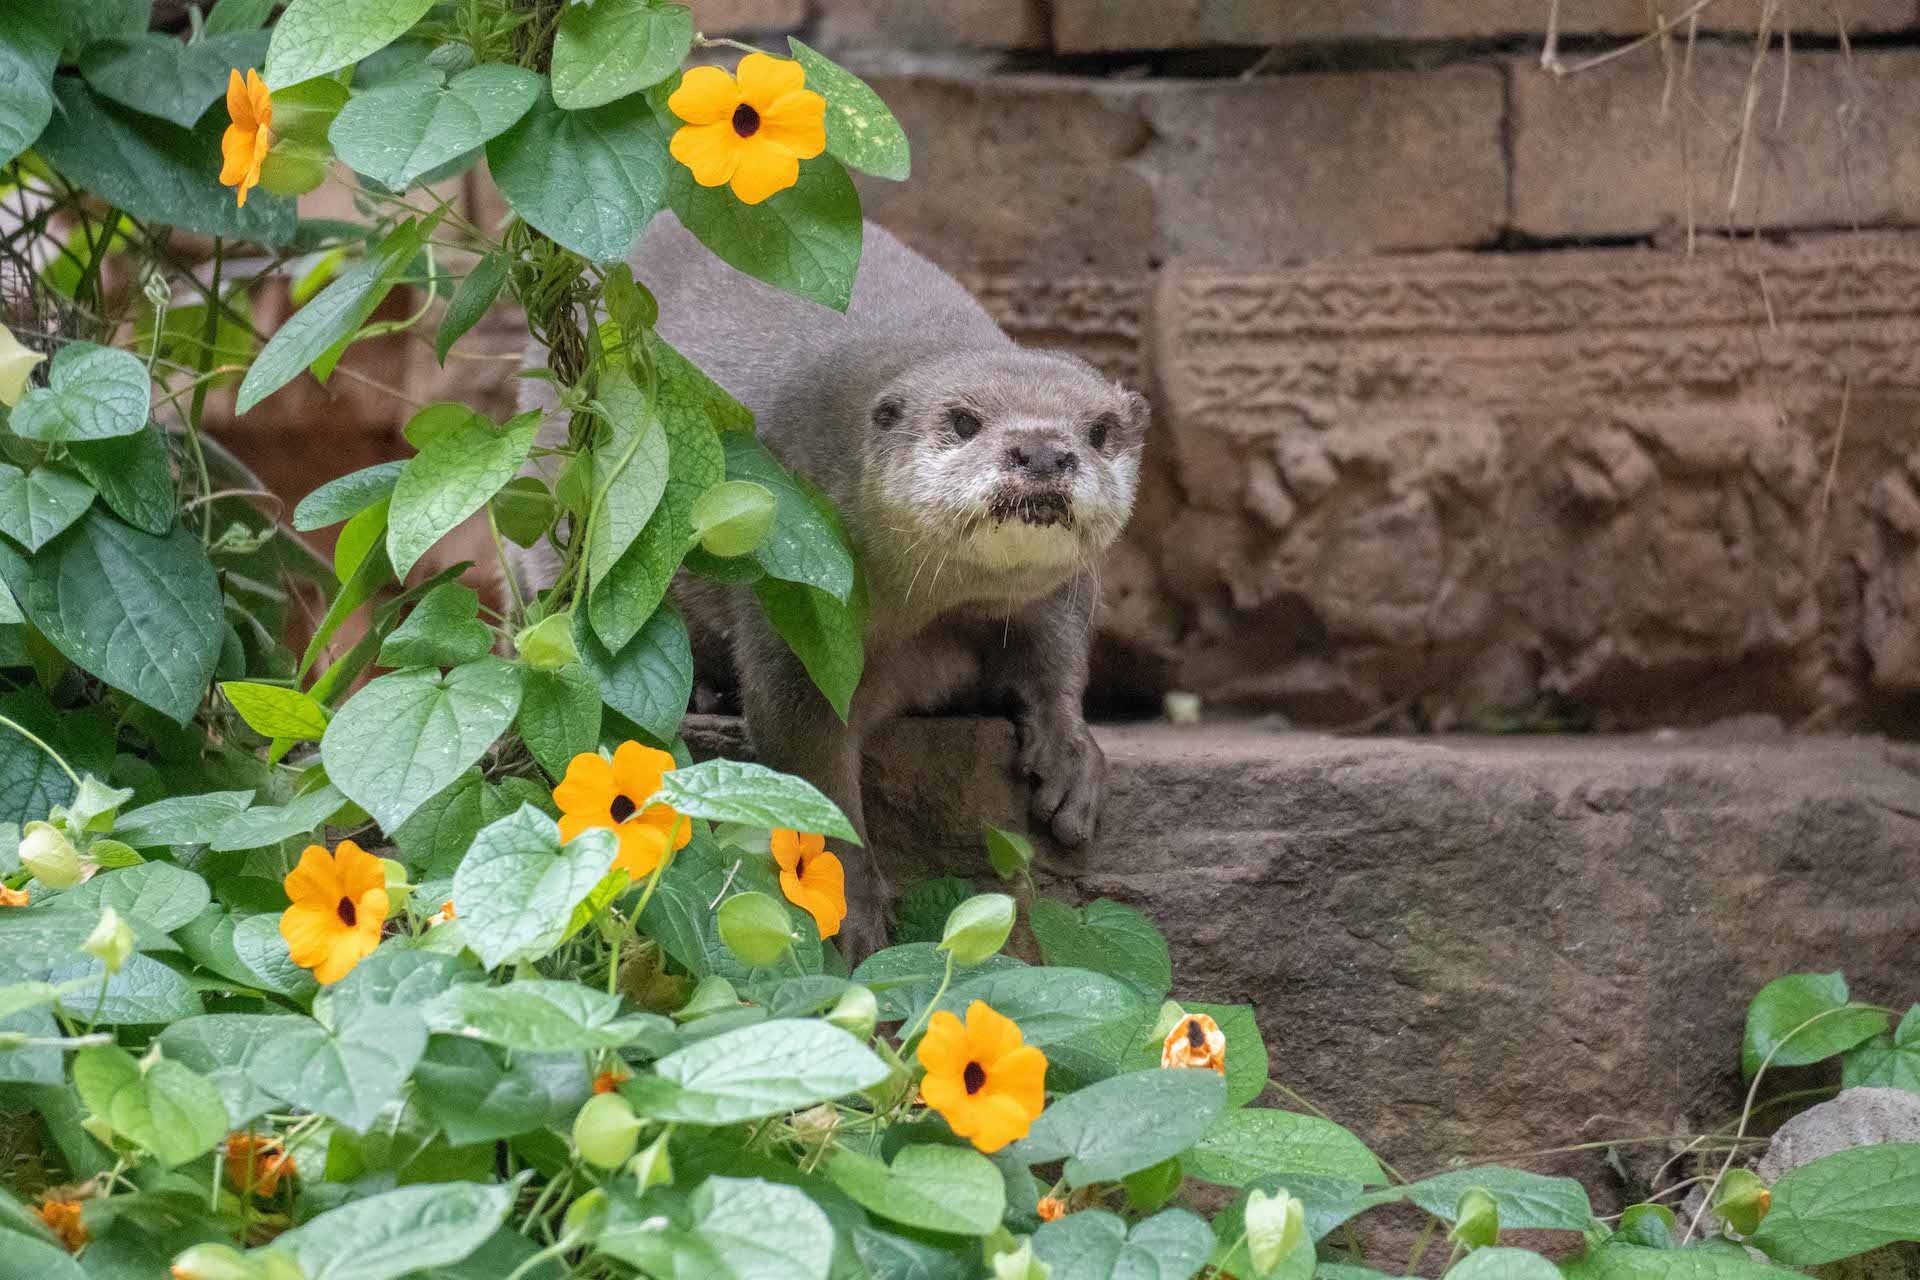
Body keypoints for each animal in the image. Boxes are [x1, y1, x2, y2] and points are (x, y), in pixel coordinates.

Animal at [518, 217, 1144, 959]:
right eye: (964, 420)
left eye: (1099, 431)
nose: (1045, 451)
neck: (924, 613)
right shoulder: (795, 606)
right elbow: (810, 769)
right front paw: (847, 906)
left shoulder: (1052, 595)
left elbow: (1056, 660)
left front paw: (1071, 758)